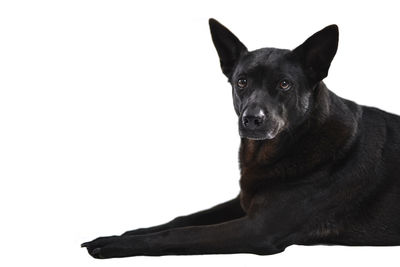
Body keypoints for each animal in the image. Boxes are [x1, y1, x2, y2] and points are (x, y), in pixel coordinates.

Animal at [81, 18, 400, 260]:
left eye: (285, 84)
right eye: (241, 82)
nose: (252, 119)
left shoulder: (257, 229)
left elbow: (182, 233)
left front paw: (115, 245)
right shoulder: (243, 201)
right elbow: (181, 220)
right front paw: (123, 233)